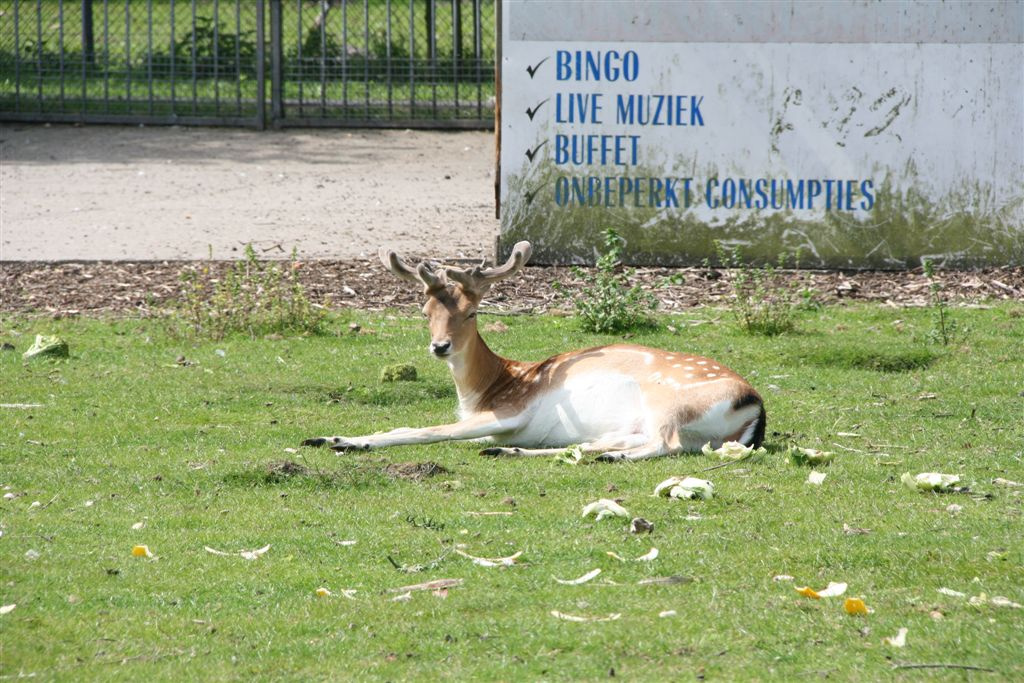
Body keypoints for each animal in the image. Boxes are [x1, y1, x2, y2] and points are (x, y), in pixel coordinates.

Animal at [303, 242, 770, 462]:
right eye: (425, 312)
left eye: (472, 312)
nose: (440, 346)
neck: (485, 389)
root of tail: (755, 407)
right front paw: (323, 436)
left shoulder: (509, 411)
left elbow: (425, 430)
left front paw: (342, 440)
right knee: (598, 442)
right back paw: (508, 452)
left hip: (669, 403)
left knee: (663, 445)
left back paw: (609, 458)